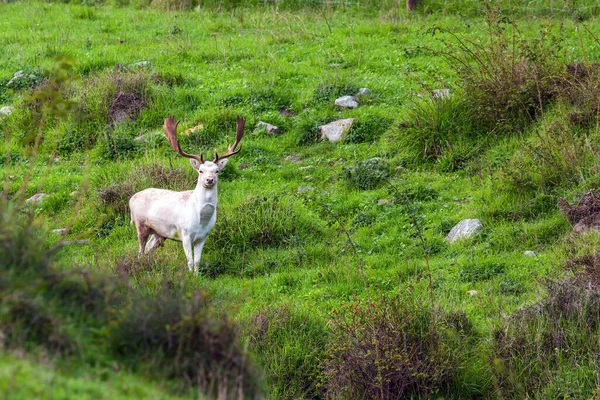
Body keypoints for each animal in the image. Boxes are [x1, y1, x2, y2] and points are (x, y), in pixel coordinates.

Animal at [129, 114, 246, 274]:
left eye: (217, 170)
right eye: (201, 171)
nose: (210, 180)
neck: (201, 220)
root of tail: (131, 199)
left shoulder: (203, 237)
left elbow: (197, 261)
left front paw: (197, 275)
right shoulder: (184, 233)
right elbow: (190, 261)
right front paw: (190, 276)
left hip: (159, 233)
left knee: (147, 249)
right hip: (140, 225)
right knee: (140, 251)